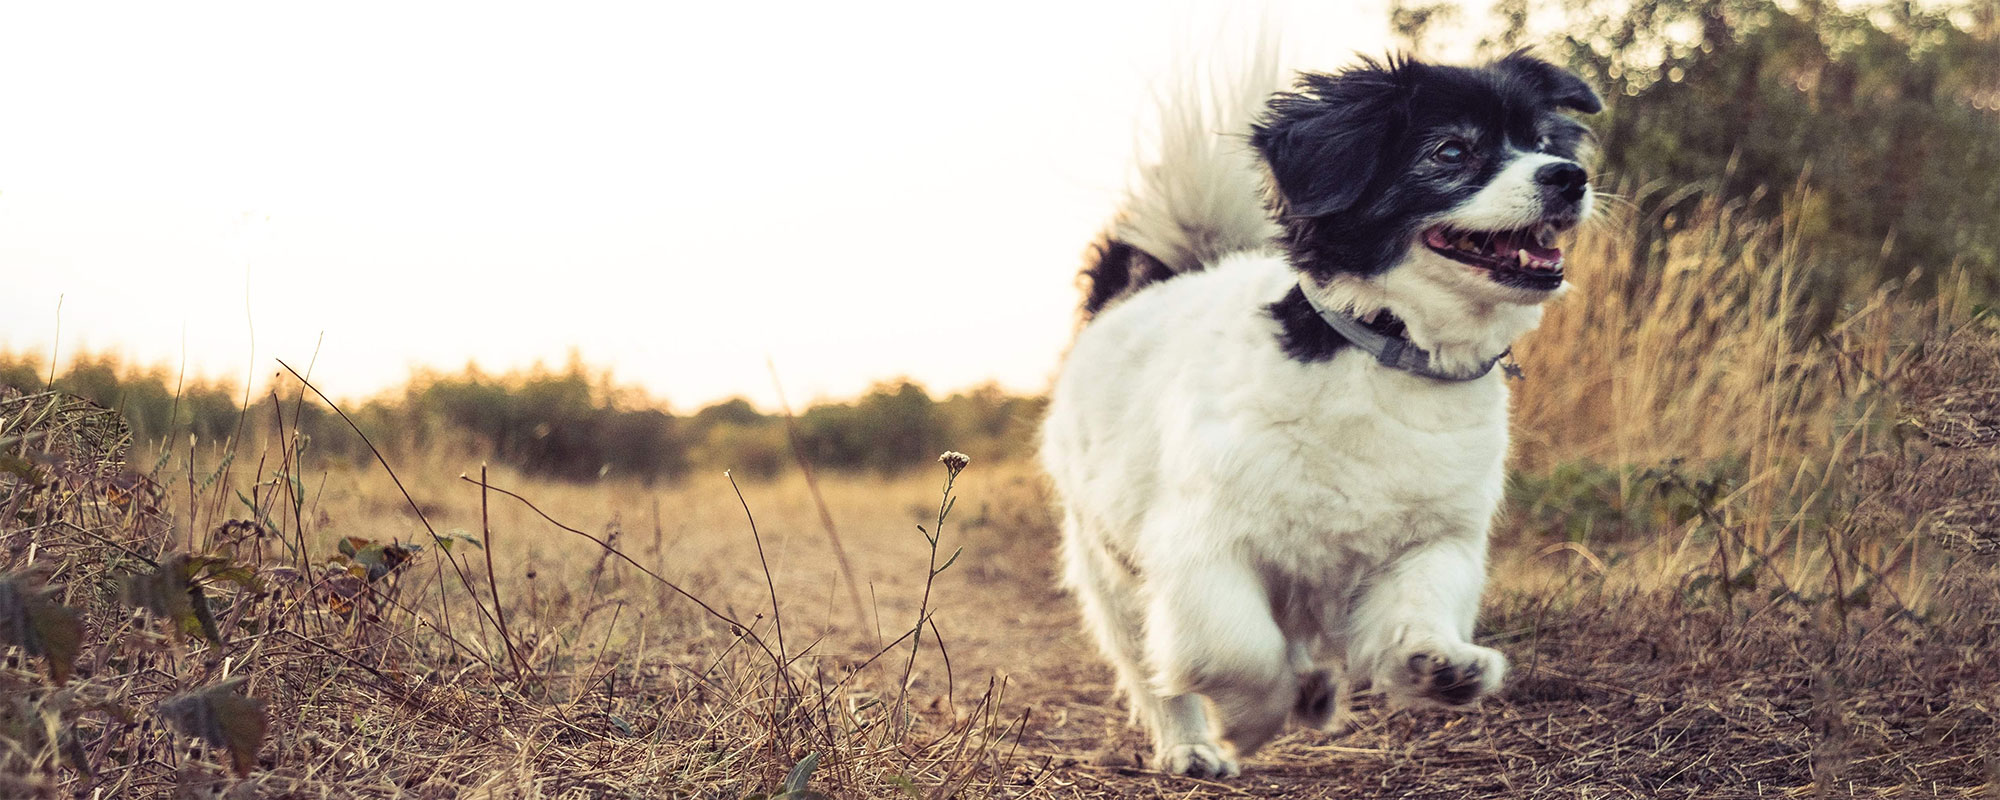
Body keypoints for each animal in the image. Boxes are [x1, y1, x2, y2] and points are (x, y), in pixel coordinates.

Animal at [1040, 53, 1600, 780]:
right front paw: (1250, 722)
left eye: (1543, 144)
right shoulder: (1201, 549)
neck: (1390, 348)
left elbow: (1420, 604)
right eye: (1451, 151)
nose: (1569, 176)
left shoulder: (1436, 540)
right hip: (1111, 572)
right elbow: (1236, 651)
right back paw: (1192, 745)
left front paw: (1435, 664)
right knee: (1154, 671)